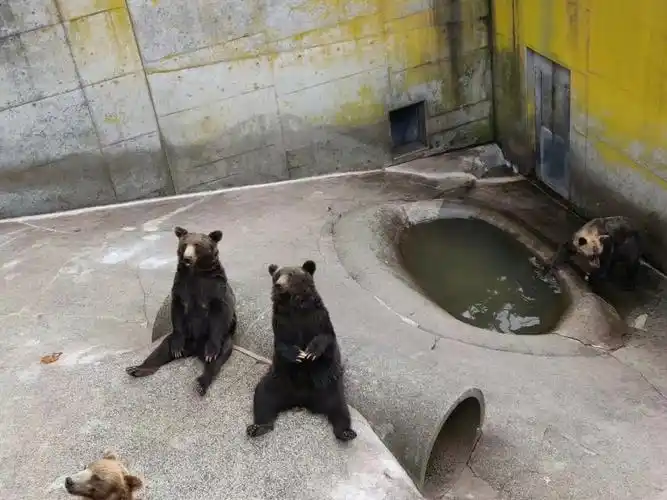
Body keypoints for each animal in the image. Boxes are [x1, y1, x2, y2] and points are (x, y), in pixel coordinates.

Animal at [126, 226, 237, 396]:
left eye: (198, 245)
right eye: (185, 244)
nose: (187, 258)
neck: (196, 272)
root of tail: (194, 349)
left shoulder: (215, 287)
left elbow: (220, 314)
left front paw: (211, 352)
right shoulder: (181, 284)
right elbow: (177, 309)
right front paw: (176, 348)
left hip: (222, 339)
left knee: (219, 357)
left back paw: (201, 382)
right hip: (184, 336)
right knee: (162, 349)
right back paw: (137, 369)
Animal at [246, 259, 357, 442]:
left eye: (291, 274)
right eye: (277, 275)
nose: (278, 284)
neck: (295, 307)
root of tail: (302, 400)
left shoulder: (318, 318)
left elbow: (326, 337)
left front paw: (311, 351)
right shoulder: (281, 322)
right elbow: (281, 343)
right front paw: (297, 354)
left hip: (328, 385)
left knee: (339, 408)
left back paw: (346, 432)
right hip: (278, 381)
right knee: (263, 398)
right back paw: (258, 427)